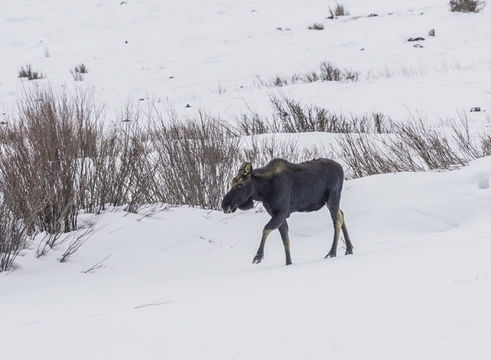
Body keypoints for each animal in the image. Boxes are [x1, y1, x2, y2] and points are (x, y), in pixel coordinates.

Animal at [223, 159, 354, 266]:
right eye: (232, 183)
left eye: (240, 185)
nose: (225, 205)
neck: (263, 191)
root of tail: (341, 168)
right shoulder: (276, 213)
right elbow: (285, 239)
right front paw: (289, 263)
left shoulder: (282, 212)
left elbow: (266, 229)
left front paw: (258, 257)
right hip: (329, 201)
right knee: (342, 214)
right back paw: (349, 249)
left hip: (333, 197)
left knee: (337, 220)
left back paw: (332, 253)